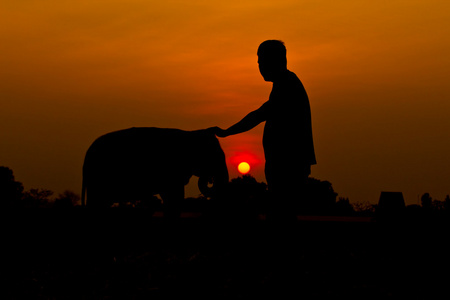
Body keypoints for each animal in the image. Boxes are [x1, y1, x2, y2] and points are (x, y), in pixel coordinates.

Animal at [81, 126, 229, 216]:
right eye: (214, 156)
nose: (210, 179)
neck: (191, 133)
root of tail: (87, 155)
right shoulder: (171, 171)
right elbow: (175, 197)